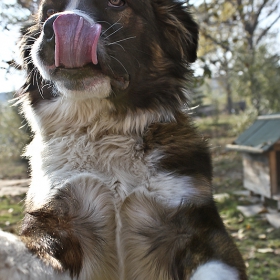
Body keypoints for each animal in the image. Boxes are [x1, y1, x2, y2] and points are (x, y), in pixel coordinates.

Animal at [0, 0, 247, 278]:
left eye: (116, 3)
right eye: (50, 11)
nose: (57, 24)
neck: (104, 129)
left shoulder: (200, 226)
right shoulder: (55, 224)